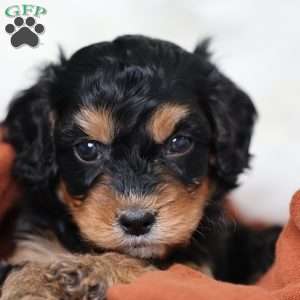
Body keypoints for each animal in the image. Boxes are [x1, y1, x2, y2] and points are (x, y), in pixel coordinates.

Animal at [0, 34, 282, 298]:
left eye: (179, 143)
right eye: (87, 149)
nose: (136, 222)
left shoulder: (196, 269)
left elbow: (147, 268)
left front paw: (86, 270)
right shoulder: (35, 244)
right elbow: (24, 266)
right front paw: (30, 284)